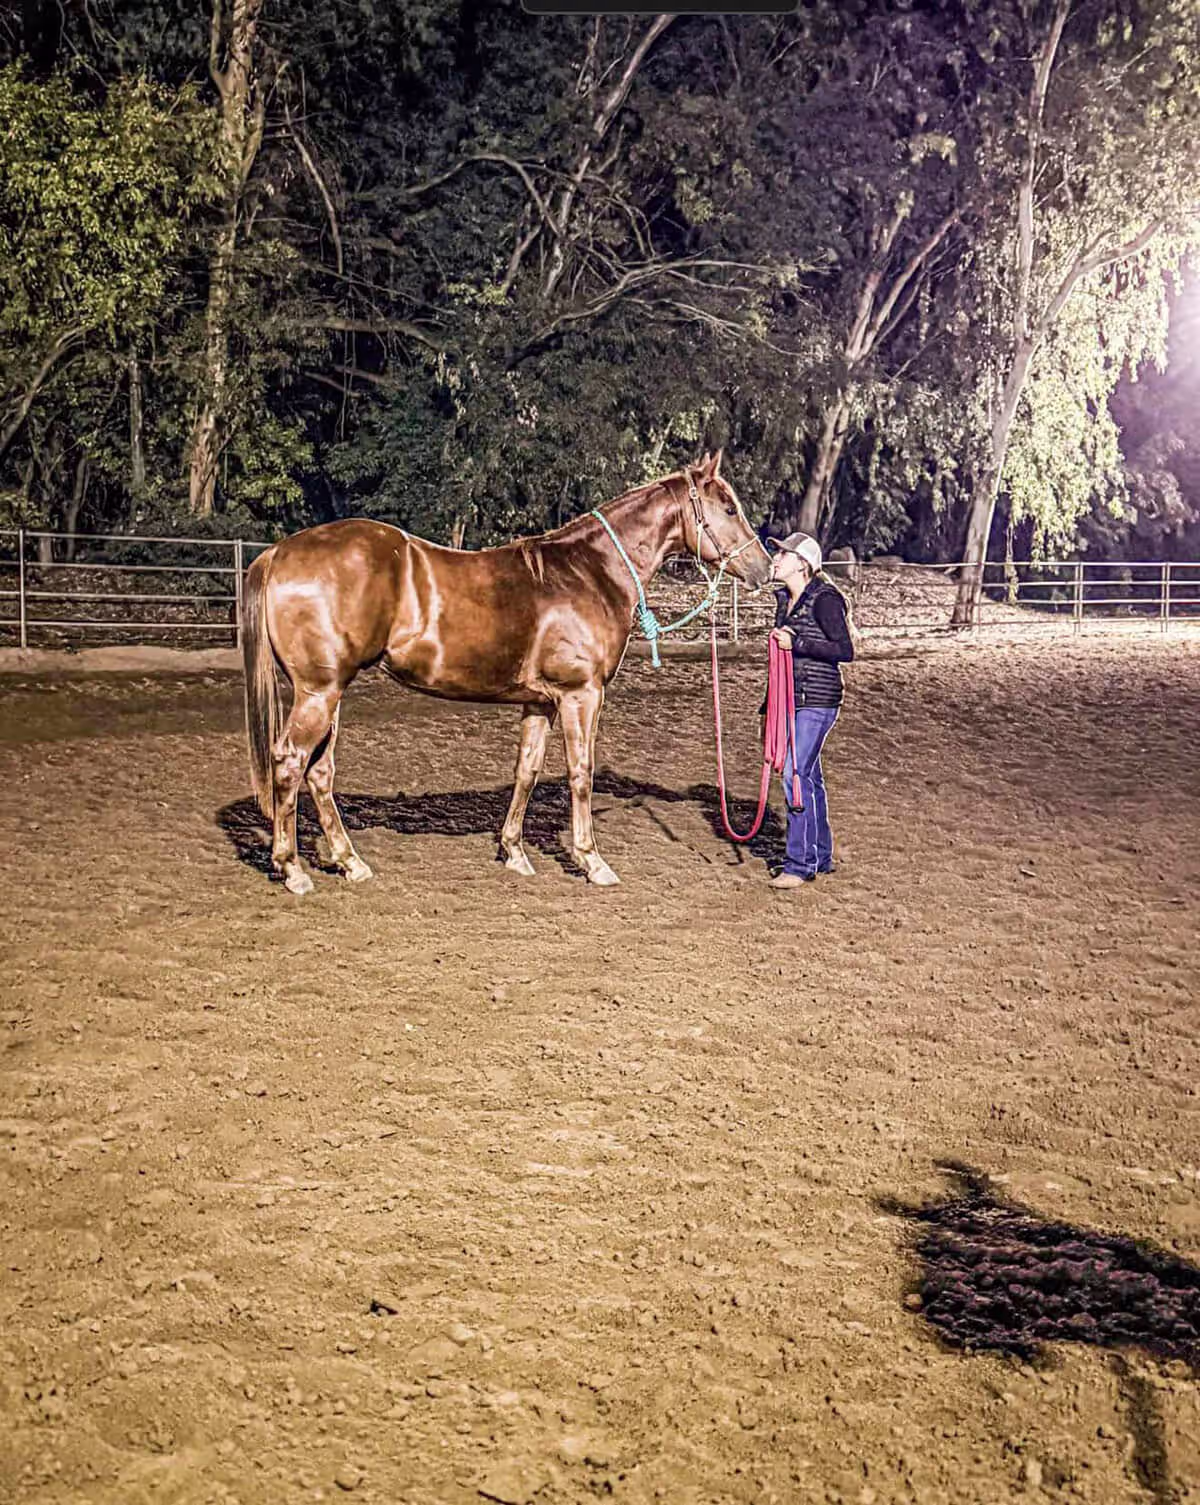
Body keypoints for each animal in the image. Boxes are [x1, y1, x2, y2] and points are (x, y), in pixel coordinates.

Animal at [241, 449, 772, 893]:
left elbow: (526, 771)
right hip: (319, 692)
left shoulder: (540, 702)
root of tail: (279, 552)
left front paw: (514, 851)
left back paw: (350, 862)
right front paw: (591, 860)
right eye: (728, 508)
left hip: (328, 694)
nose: (764, 569)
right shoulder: (581, 695)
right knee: (290, 762)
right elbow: (581, 772)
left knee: (319, 772)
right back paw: (292, 869)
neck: (588, 572)